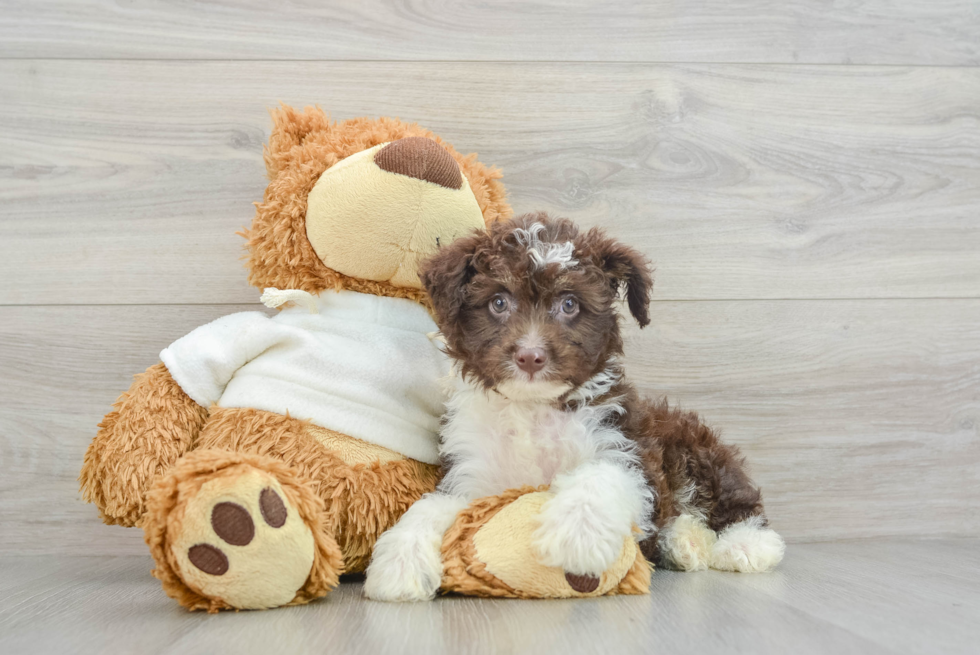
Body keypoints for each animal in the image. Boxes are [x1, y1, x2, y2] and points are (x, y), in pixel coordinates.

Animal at [364, 213, 784, 604]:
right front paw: (400, 560)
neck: (533, 407)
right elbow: (432, 506)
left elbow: (601, 474)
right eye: (499, 302)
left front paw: (576, 535)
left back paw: (745, 545)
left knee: (736, 501)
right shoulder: (470, 477)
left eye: (569, 304)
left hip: (694, 446)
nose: (530, 357)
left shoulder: (628, 450)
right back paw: (685, 542)